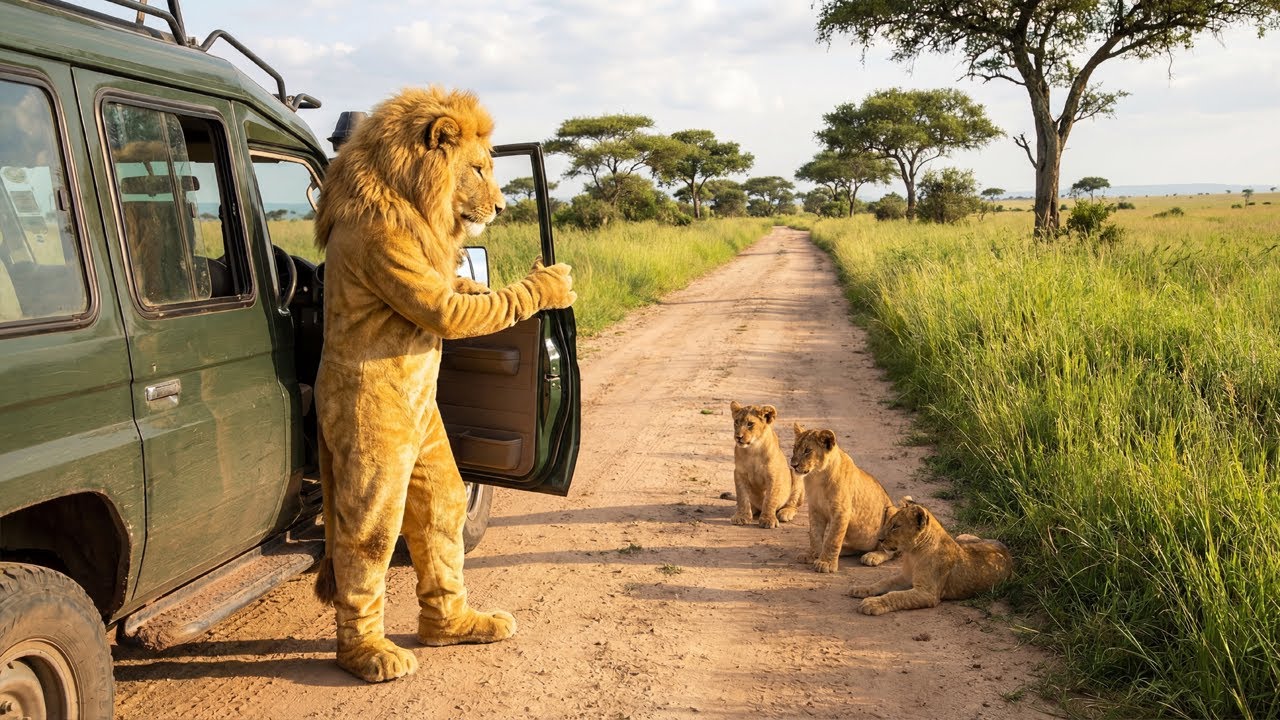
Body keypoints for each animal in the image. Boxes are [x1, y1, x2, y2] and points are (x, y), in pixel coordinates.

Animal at [311, 87, 576, 683]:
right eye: (477, 169)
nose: (501, 209)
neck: (404, 194)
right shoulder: (391, 252)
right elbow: (446, 309)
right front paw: (548, 285)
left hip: (425, 441)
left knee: (439, 512)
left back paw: (452, 627)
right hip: (375, 450)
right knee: (367, 542)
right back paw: (369, 655)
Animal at [789, 423, 898, 572]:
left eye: (807, 450)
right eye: (794, 448)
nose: (793, 465)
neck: (817, 476)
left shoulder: (841, 511)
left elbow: (833, 539)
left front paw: (826, 563)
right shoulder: (815, 509)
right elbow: (815, 535)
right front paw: (813, 555)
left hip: (892, 511)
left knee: (890, 552)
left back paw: (872, 556)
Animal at [850, 498, 1013, 615]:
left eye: (896, 526)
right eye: (889, 523)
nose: (879, 539)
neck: (913, 553)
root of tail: (1006, 549)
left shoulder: (927, 593)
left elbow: (895, 596)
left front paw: (872, 603)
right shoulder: (906, 577)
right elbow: (884, 581)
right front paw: (861, 589)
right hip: (963, 537)